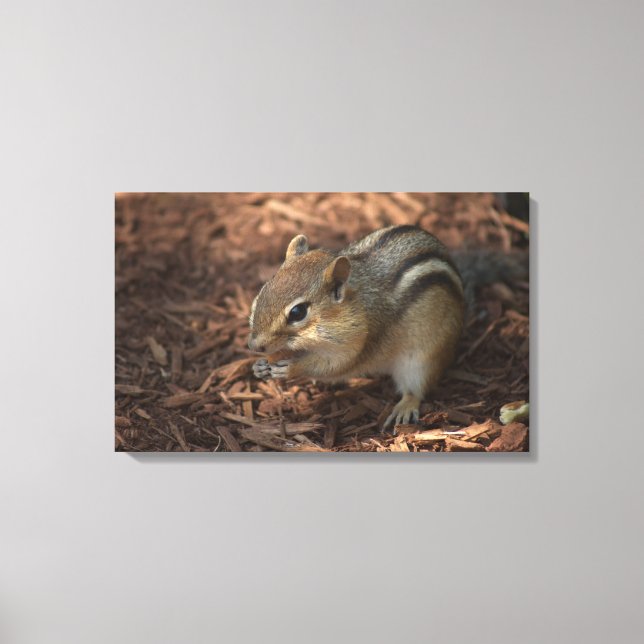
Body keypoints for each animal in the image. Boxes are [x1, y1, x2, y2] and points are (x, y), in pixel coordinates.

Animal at [248, 224, 523, 431]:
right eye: (264, 289)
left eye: (297, 312)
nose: (254, 345)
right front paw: (260, 367)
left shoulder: (359, 343)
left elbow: (333, 366)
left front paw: (290, 368)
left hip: (422, 360)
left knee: (417, 388)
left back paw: (404, 407)